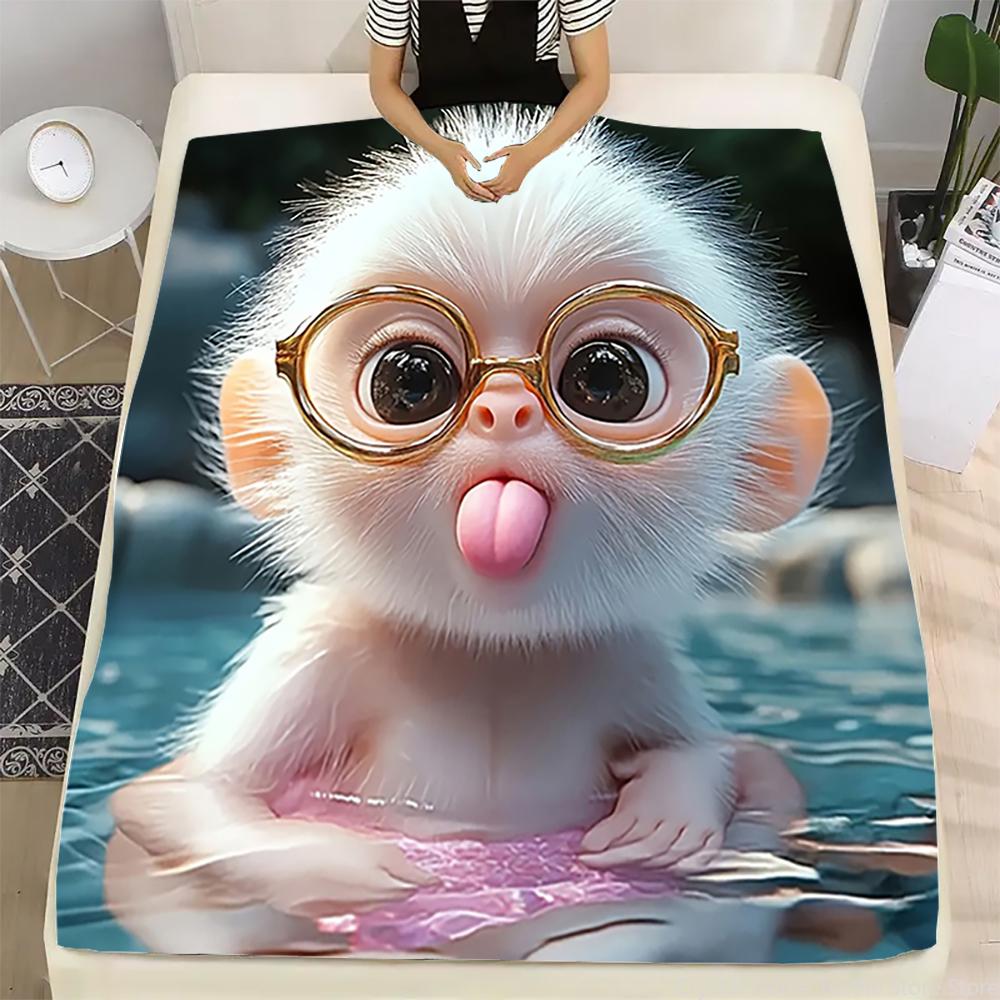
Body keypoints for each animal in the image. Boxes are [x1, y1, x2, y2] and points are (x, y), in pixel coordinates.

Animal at [102, 105, 833, 962]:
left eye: (607, 379)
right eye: (409, 381)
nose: (504, 409)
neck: (489, 654)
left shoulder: (636, 655)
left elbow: (704, 754)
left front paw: (672, 806)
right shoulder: (312, 649)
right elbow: (187, 802)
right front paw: (335, 863)